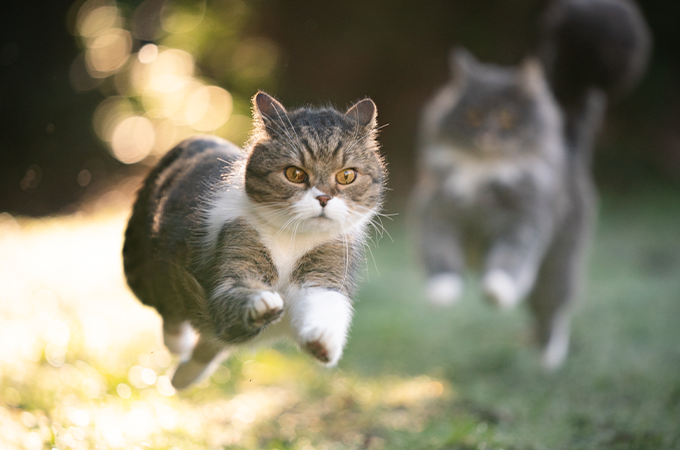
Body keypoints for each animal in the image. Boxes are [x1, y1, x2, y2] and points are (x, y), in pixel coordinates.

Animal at [123, 91, 388, 386]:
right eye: (295, 174)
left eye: (347, 175)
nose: (323, 198)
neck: (293, 238)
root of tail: (195, 140)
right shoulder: (234, 252)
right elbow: (233, 290)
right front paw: (261, 302)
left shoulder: (328, 264)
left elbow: (324, 303)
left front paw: (322, 340)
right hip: (142, 267)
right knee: (169, 306)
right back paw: (178, 345)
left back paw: (183, 377)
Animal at [412, 0, 652, 368]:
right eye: (473, 116)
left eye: (507, 118)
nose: (487, 136)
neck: (485, 174)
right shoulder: (438, 211)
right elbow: (439, 253)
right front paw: (442, 292)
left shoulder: (524, 220)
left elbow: (510, 258)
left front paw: (496, 290)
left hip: (556, 270)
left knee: (553, 313)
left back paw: (548, 361)